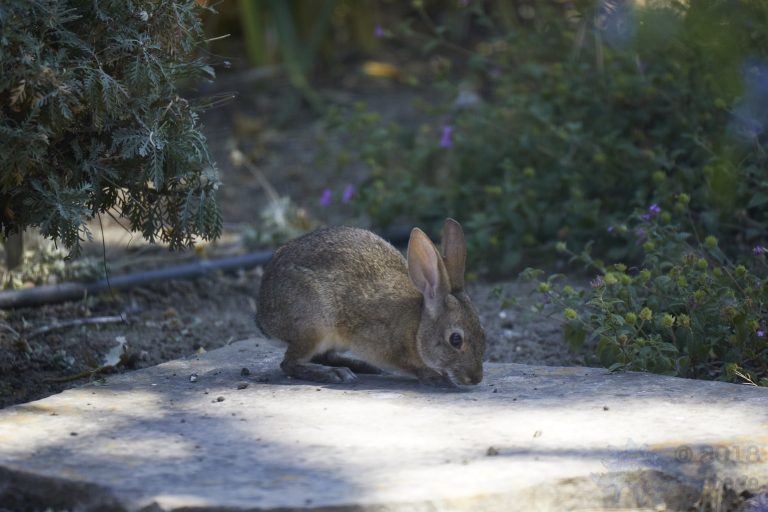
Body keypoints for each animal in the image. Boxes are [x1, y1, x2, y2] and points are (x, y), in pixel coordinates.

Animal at [256, 218, 486, 386]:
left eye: (483, 333)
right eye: (456, 340)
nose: (476, 378)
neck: (417, 327)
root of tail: (264, 320)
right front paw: (433, 376)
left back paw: (360, 367)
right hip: (314, 326)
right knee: (290, 364)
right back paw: (335, 374)